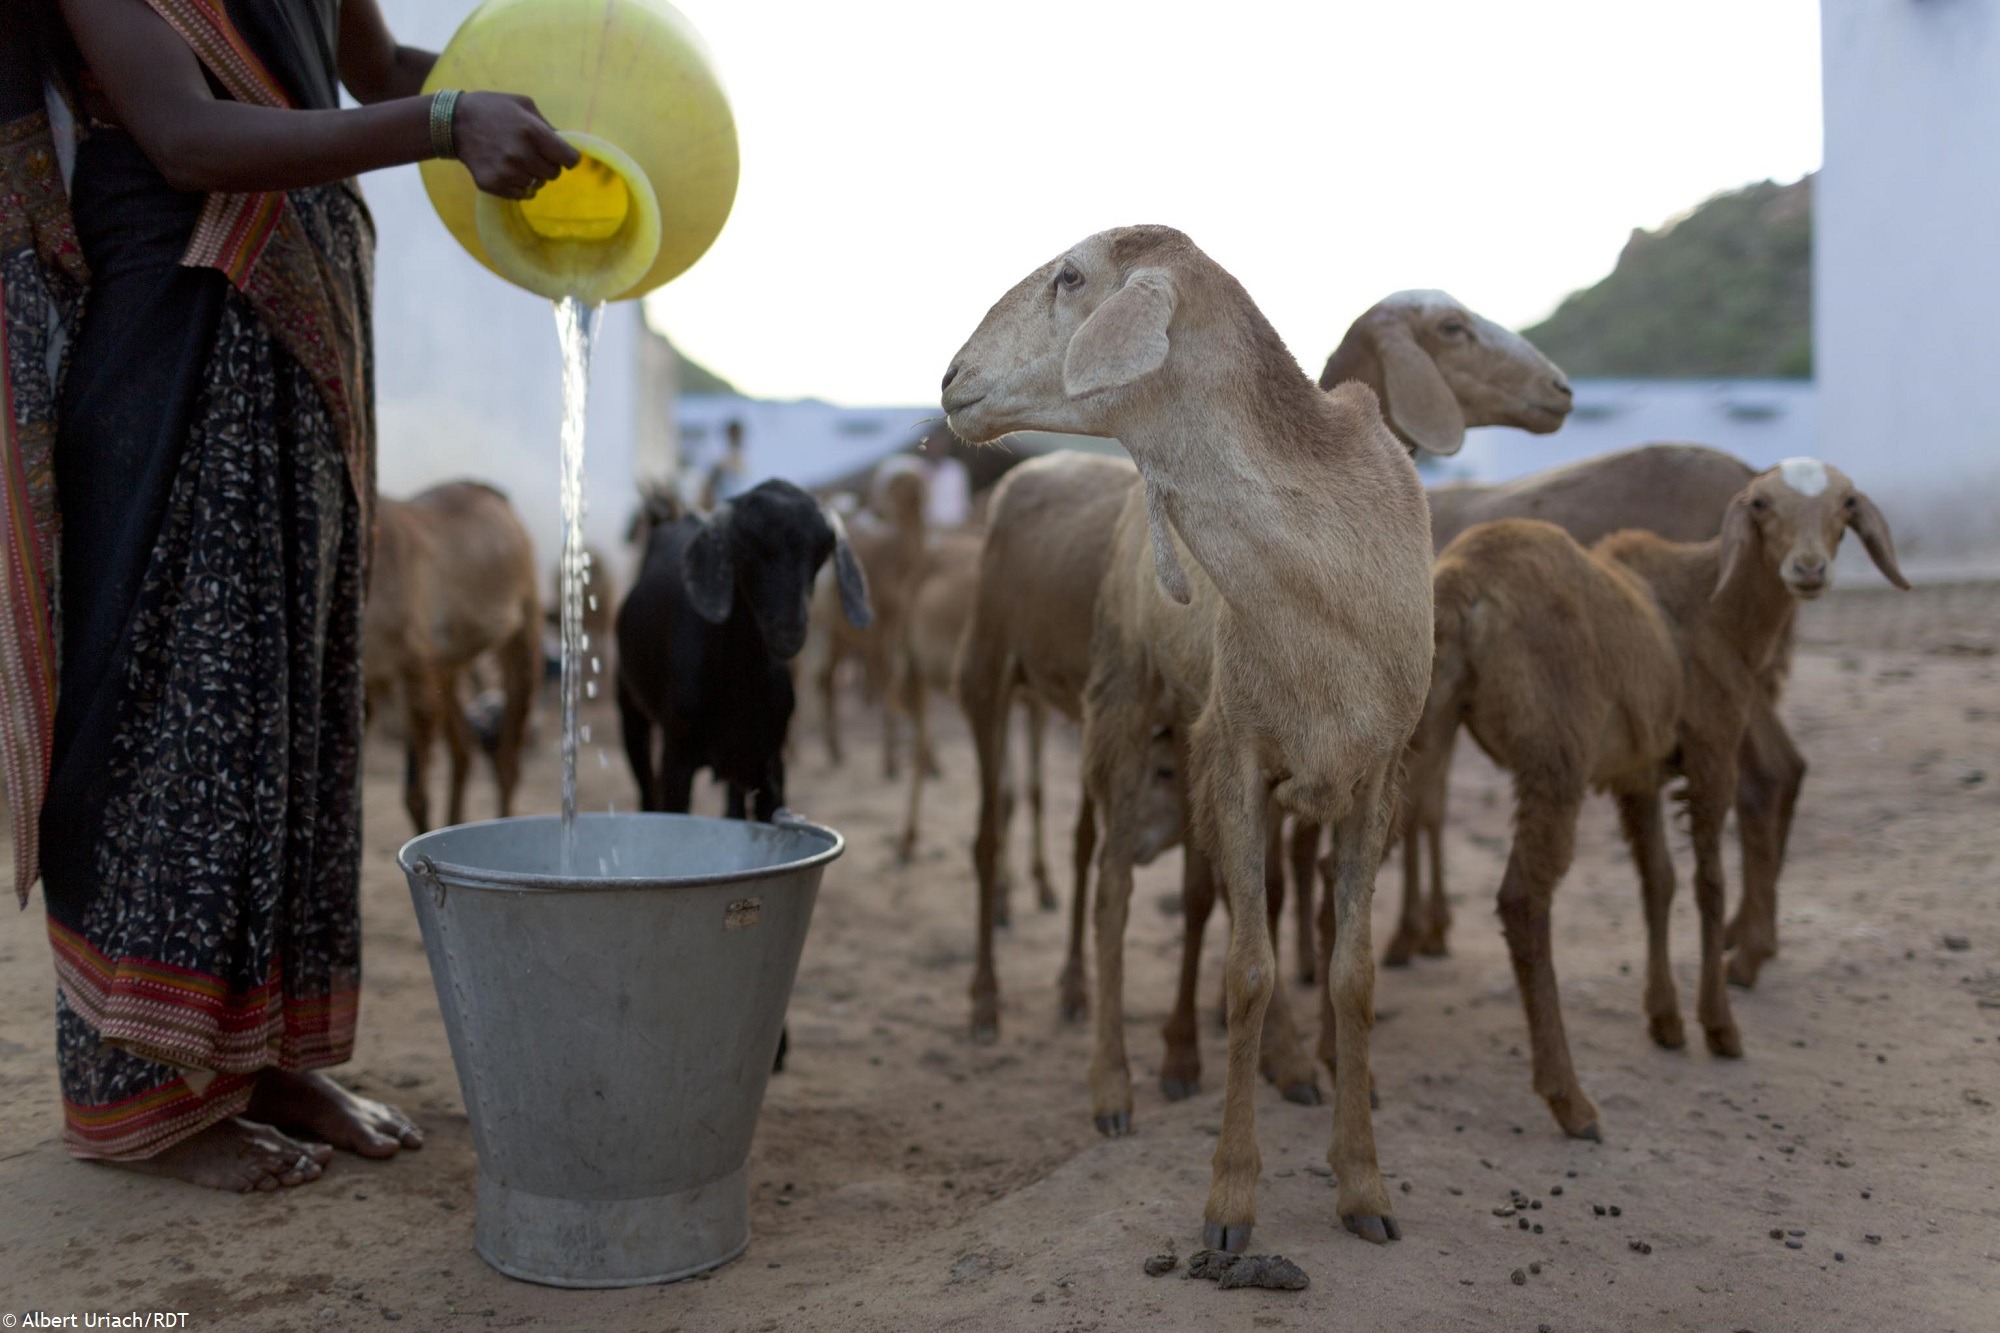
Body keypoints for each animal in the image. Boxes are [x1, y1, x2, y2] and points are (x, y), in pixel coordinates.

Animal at [363, 482, 541, 834]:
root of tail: (495, 495)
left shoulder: (414, 672)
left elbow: (415, 794)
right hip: (449, 665)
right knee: (465, 748)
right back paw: (453, 824)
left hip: (524, 627)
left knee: (507, 761)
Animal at [616, 480, 870, 820]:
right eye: (744, 550)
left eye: (820, 553)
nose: (788, 629)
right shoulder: (677, 758)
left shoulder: (771, 763)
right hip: (629, 704)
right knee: (645, 787)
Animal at [944, 225, 1435, 1252]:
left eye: (1070, 276)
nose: (951, 377)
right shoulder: (1239, 756)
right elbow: (1249, 969)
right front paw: (1232, 1199)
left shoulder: (1378, 778)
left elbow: (1353, 974)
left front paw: (1363, 1182)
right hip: (1112, 708)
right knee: (1107, 891)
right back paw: (1112, 1086)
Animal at [1385, 443, 1804, 992]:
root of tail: (1749, 473)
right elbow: (1425, 805)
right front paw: (1427, 930)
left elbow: (1420, 808)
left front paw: (1412, 935)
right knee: (1784, 767)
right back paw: (1751, 942)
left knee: (1763, 777)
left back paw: (1746, 953)